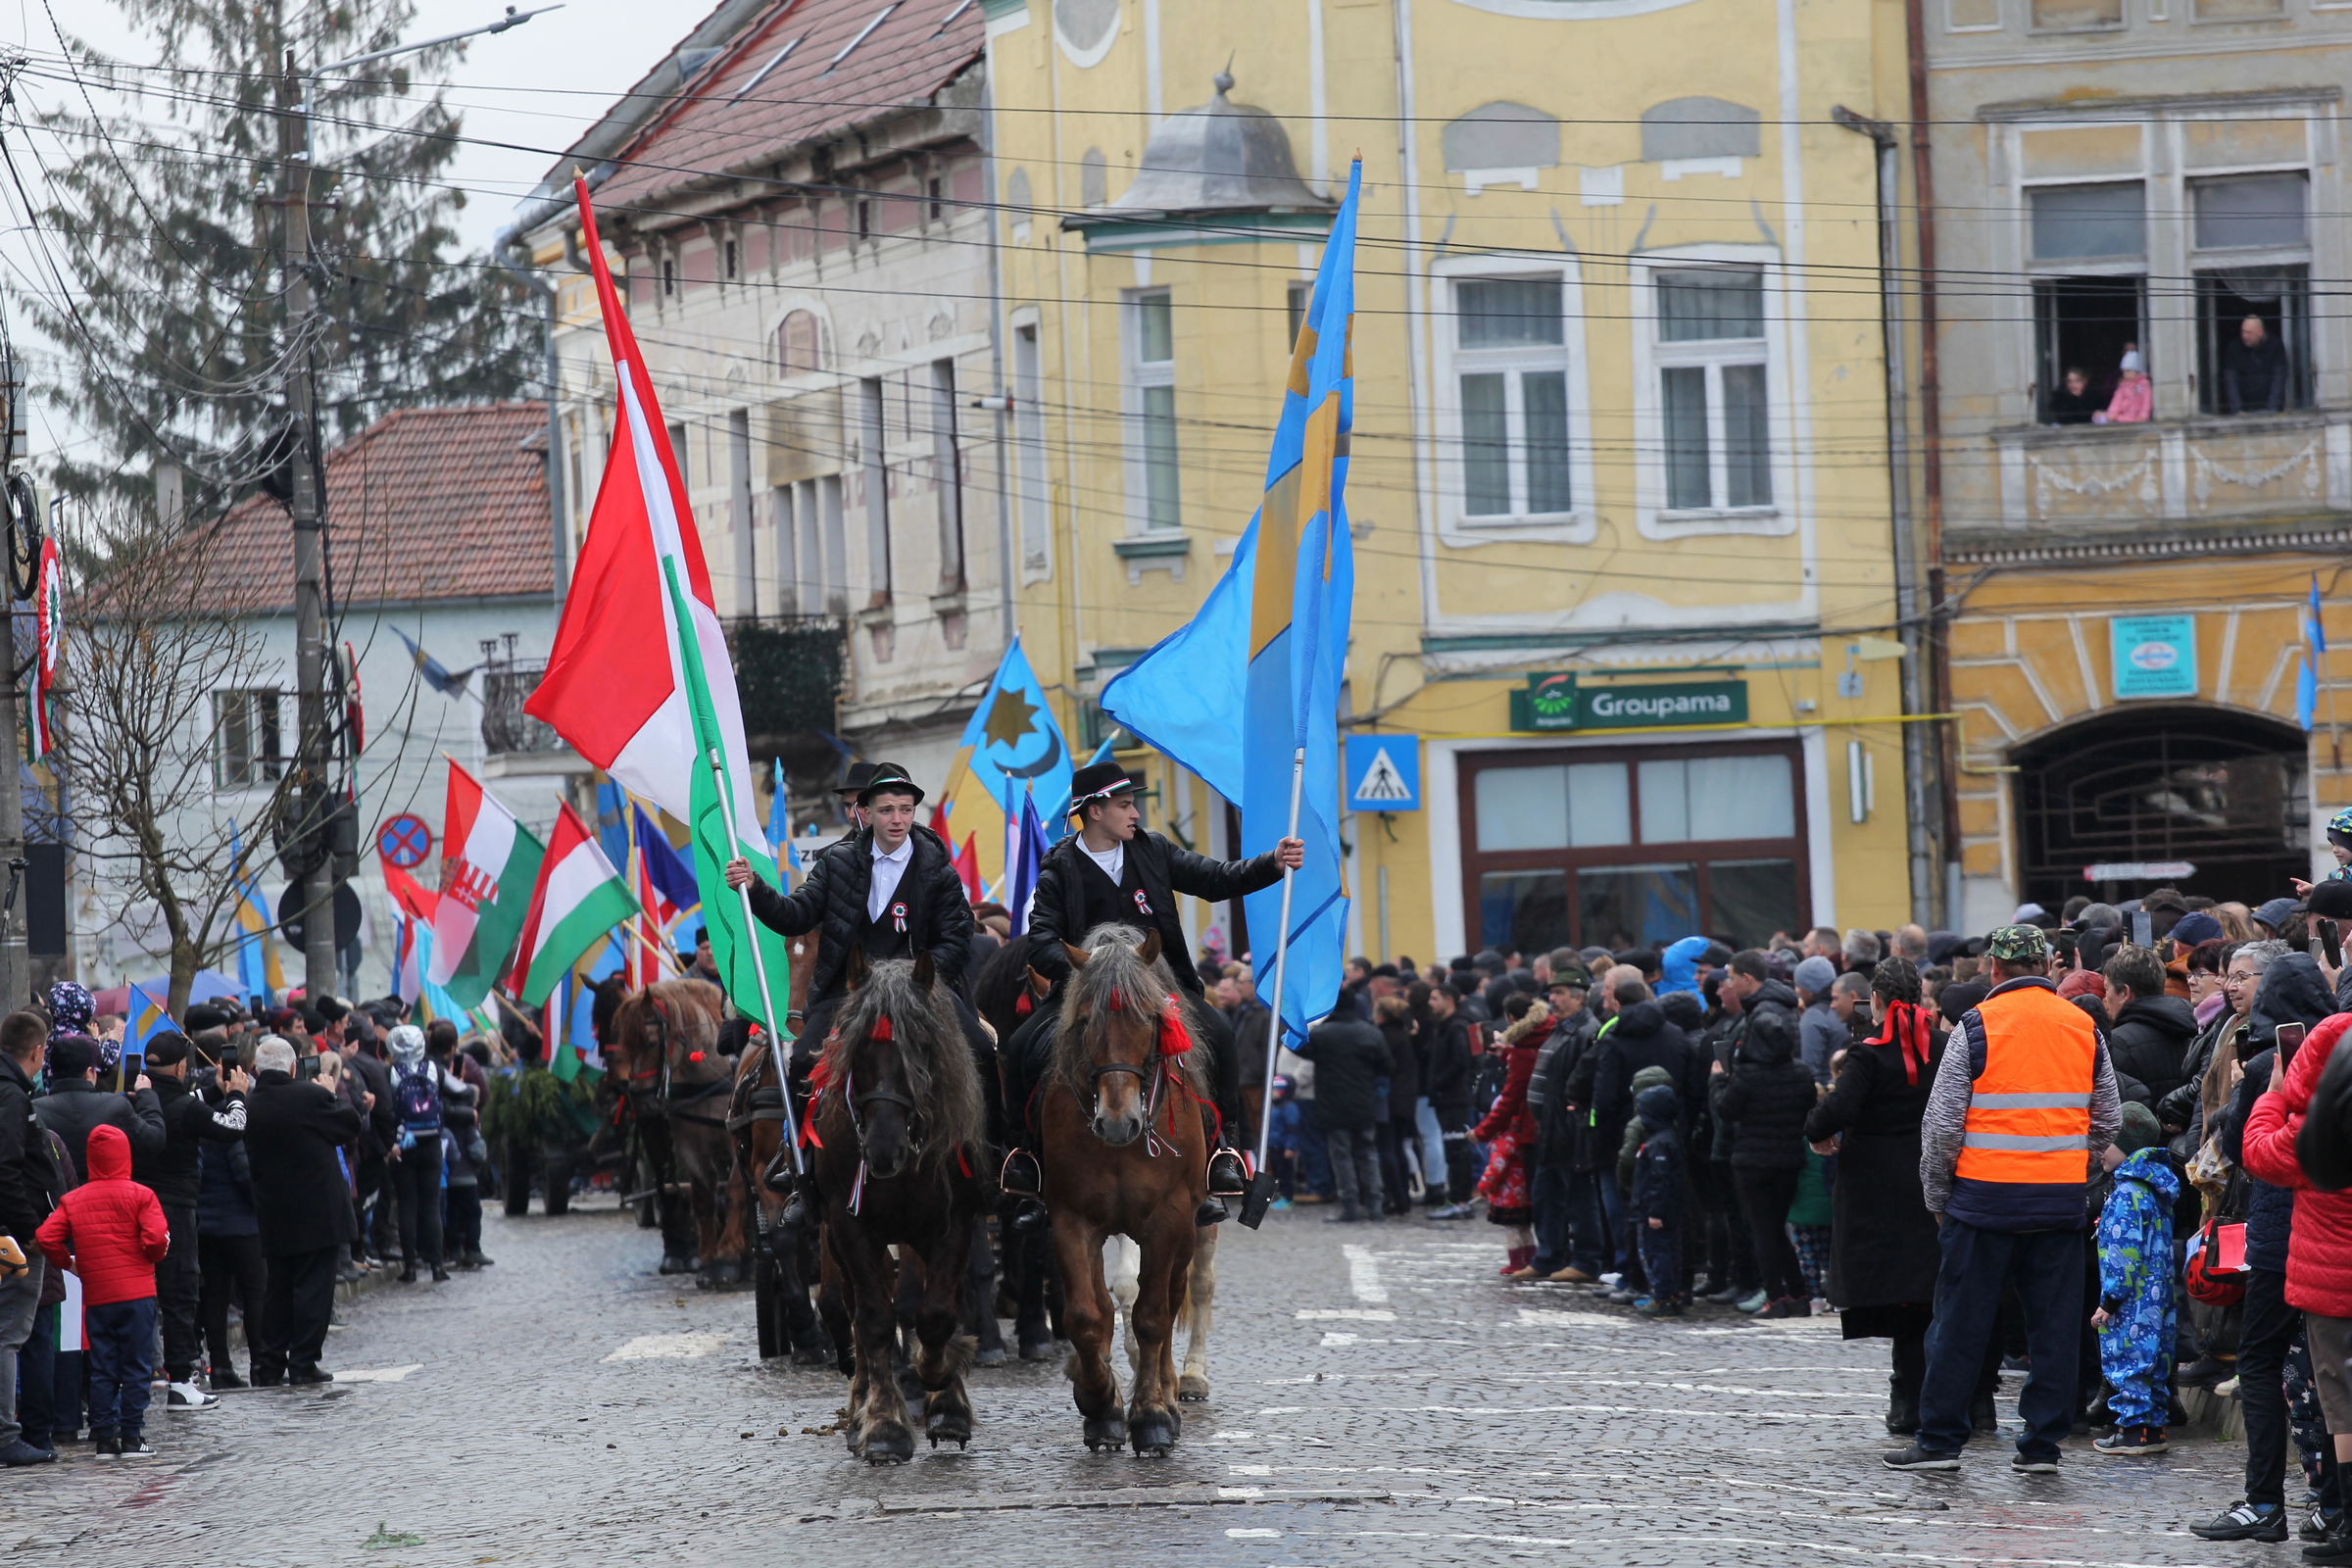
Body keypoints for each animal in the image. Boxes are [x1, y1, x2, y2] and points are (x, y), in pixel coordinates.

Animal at [607, 982, 743, 1288]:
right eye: (623, 1044)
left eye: (650, 1043)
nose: (640, 1104)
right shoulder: (689, 1147)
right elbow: (702, 1198)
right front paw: (708, 1263)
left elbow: (733, 1191)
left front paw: (730, 1257)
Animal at [808, 950, 992, 1466]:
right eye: (856, 1051)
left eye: (923, 1046)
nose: (882, 1150)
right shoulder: (849, 1223)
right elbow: (874, 1319)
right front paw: (884, 1426)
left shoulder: (951, 1221)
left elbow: (935, 1312)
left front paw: (943, 1392)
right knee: (852, 1309)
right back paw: (859, 1409)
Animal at [1039, 926, 1203, 1457]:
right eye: (1085, 1019)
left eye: (1150, 1018)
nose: (1117, 1123)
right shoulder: (1071, 1219)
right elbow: (1087, 1316)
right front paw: (1100, 1404)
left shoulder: (1169, 1218)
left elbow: (1152, 1316)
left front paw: (1151, 1416)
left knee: (1173, 1298)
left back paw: (1172, 1392)